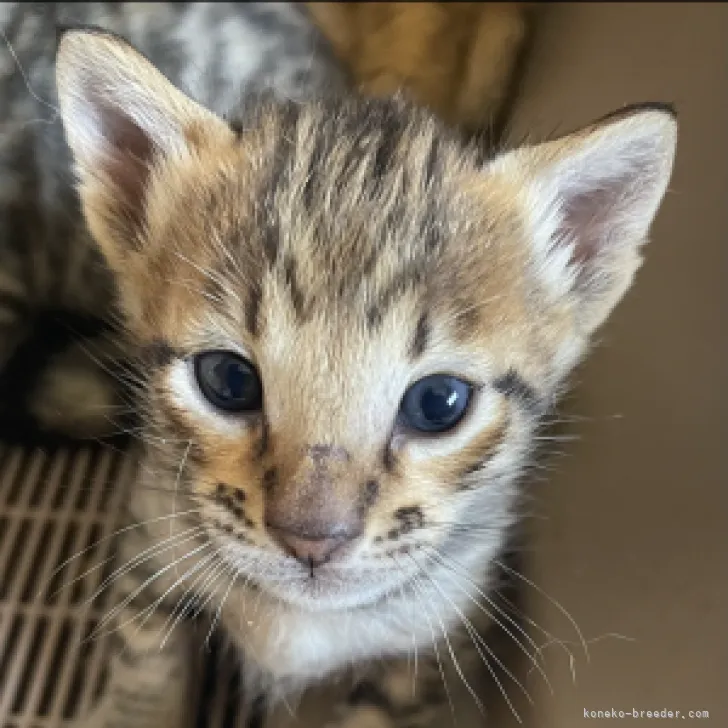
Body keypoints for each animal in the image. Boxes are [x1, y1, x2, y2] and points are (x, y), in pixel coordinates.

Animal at [49, 25, 676, 728]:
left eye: (439, 402)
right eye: (227, 380)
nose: (312, 542)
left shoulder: (428, 650)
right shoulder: (151, 538)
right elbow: (144, 659)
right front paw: (137, 705)